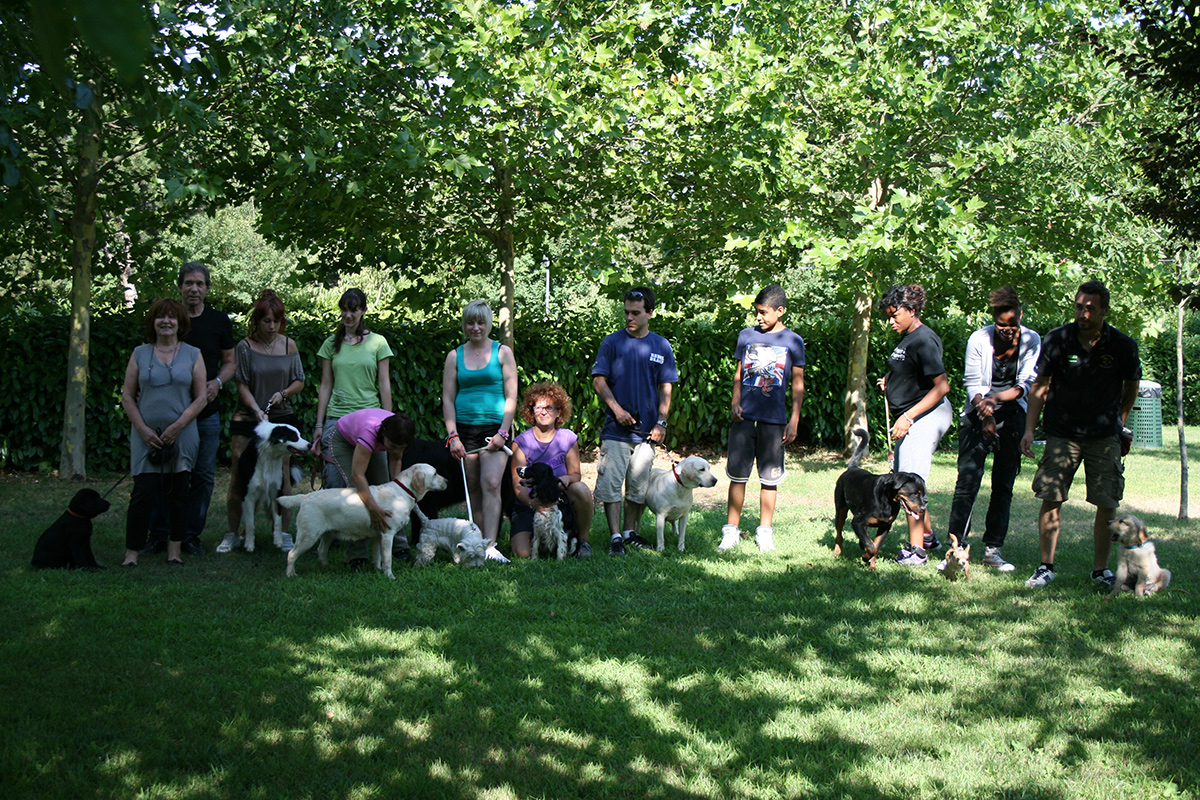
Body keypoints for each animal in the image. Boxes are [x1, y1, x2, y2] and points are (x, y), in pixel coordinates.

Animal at [276, 462, 446, 582]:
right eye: (435, 473)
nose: (448, 480)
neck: (403, 492)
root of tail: (305, 496)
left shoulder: (378, 536)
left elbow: (378, 557)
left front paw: (377, 570)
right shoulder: (387, 535)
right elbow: (387, 559)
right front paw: (389, 576)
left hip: (328, 534)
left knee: (322, 550)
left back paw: (327, 567)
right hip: (308, 535)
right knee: (291, 554)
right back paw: (291, 574)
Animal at [835, 431, 926, 568]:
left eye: (923, 494)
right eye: (914, 493)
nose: (923, 507)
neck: (888, 501)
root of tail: (852, 468)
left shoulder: (885, 526)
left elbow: (876, 546)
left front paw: (872, 565)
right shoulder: (857, 522)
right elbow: (871, 545)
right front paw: (865, 557)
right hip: (840, 510)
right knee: (839, 533)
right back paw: (837, 551)